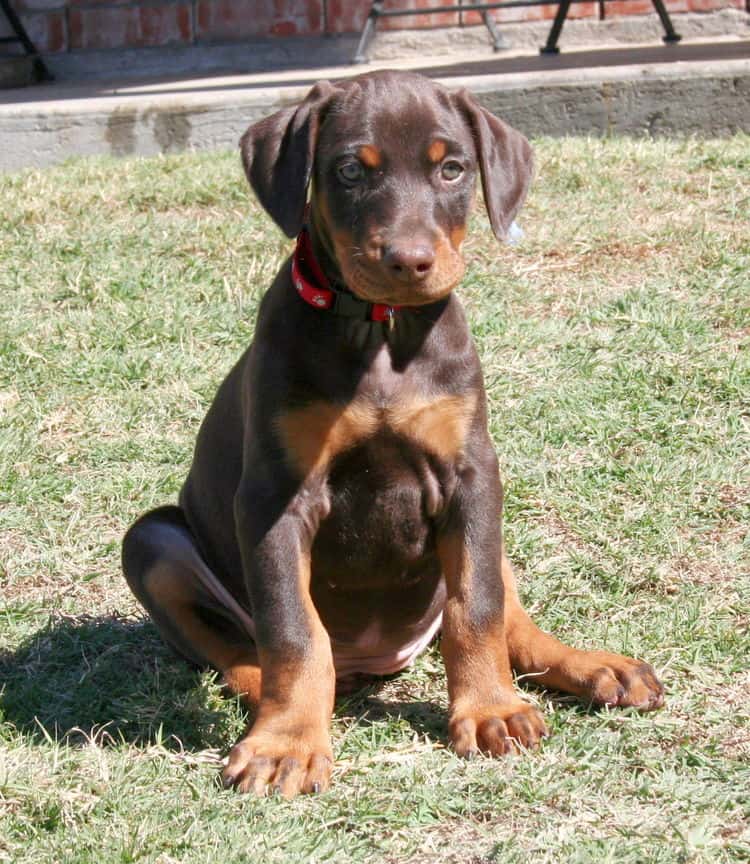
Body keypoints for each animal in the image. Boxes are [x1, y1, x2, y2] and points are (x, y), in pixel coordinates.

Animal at [120, 71, 668, 800]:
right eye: (351, 169)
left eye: (452, 168)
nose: (409, 261)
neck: (380, 329)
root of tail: (380, 661)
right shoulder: (273, 497)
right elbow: (292, 630)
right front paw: (287, 742)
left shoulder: (473, 476)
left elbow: (478, 608)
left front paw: (490, 710)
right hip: (152, 541)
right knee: (237, 650)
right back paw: (275, 696)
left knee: (510, 617)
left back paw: (592, 667)